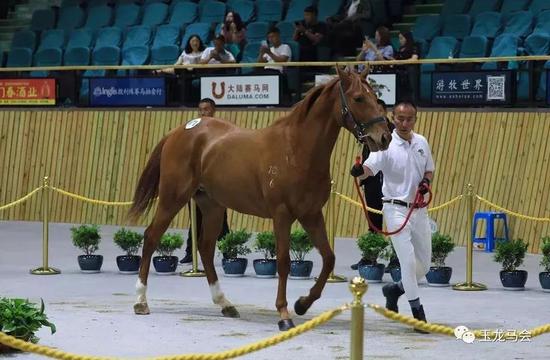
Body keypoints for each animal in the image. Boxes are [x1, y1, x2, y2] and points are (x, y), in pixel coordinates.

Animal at [129, 66, 392, 330]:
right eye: (359, 98)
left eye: (375, 96)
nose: (384, 137)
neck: (296, 149)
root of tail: (181, 130)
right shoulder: (282, 214)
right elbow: (284, 262)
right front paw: (284, 315)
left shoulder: (311, 214)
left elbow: (329, 259)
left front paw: (302, 303)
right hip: (173, 198)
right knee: (151, 237)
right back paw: (141, 301)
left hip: (212, 205)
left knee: (205, 247)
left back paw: (225, 304)